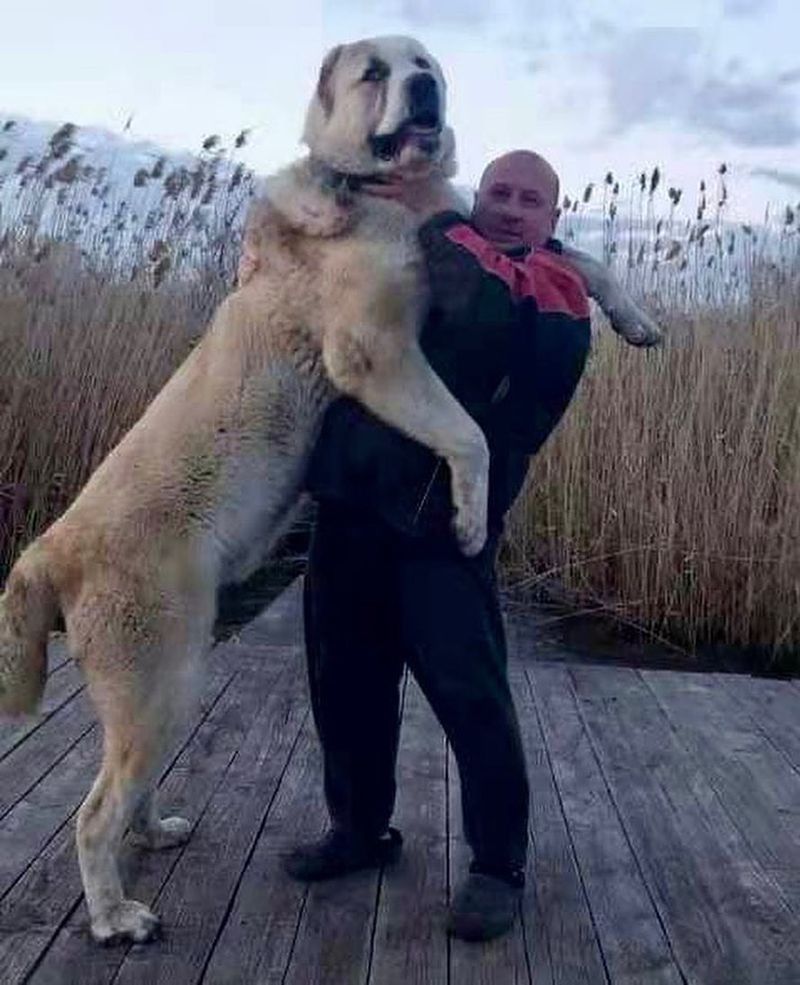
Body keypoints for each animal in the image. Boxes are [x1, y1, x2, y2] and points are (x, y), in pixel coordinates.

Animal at [0, 34, 660, 940]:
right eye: (375, 73)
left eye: (426, 64)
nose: (422, 86)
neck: (392, 194)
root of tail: (47, 550)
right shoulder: (374, 349)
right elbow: (469, 429)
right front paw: (467, 514)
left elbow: (566, 255)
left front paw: (635, 316)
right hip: (161, 676)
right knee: (94, 812)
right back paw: (116, 917)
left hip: (167, 684)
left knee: (124, 792)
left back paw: (156, 831)